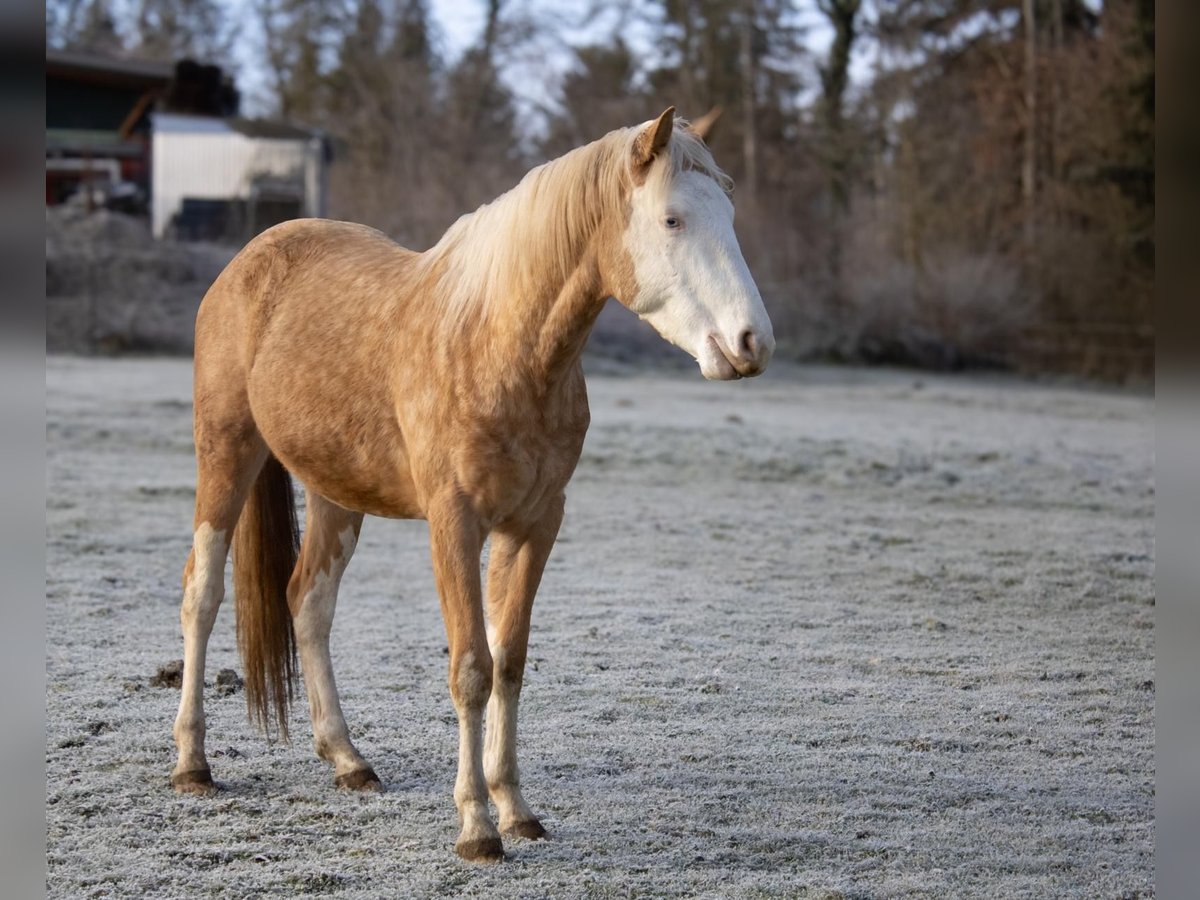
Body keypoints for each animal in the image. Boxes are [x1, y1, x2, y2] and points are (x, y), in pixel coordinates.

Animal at [169, 105, 772, 859]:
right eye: (672, 220)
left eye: (730, 211)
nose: (752, 343)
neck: (499, 344)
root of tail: (248, 260)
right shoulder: (454, 524)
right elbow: (471, 670)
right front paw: (478, 827)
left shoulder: (534, 525)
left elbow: (509, 661)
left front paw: (515, 808)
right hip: (227, 454)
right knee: (202, 594)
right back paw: (192, 765)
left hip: (335, 493)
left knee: (307, 602)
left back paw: (348, 759)